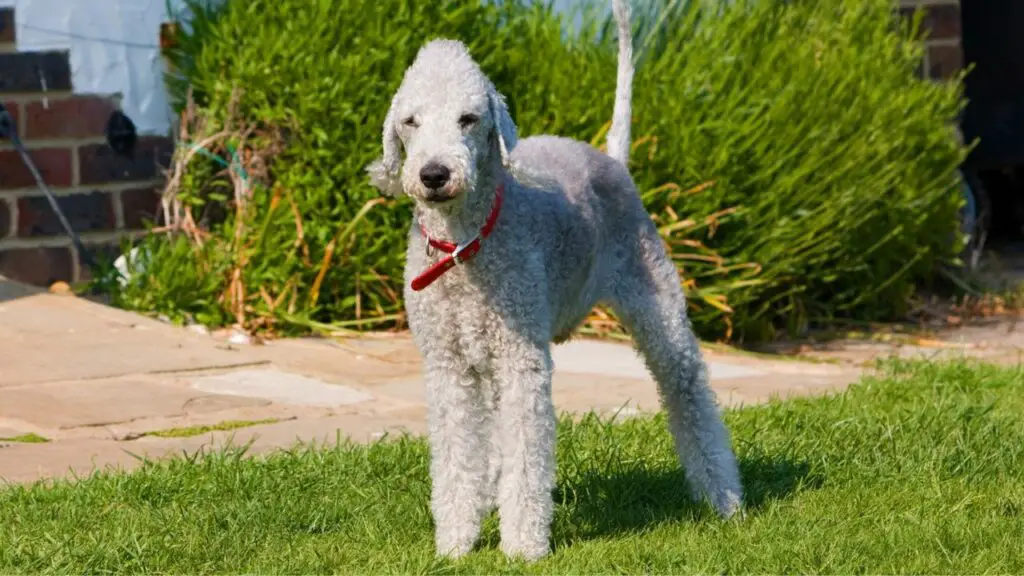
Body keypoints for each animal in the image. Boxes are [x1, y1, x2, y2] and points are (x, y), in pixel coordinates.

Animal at [368, 0, 745, 557]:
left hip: (655, 301)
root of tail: (610, 157)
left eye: (468, 119)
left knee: (688, 389)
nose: (434, 174)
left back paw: (724, 498)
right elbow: (458, 455)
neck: (465, 245)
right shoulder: (448, 364)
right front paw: (454, 544)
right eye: (410, 122)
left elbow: (527, 454)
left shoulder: (522, 358)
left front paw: (523, 547)